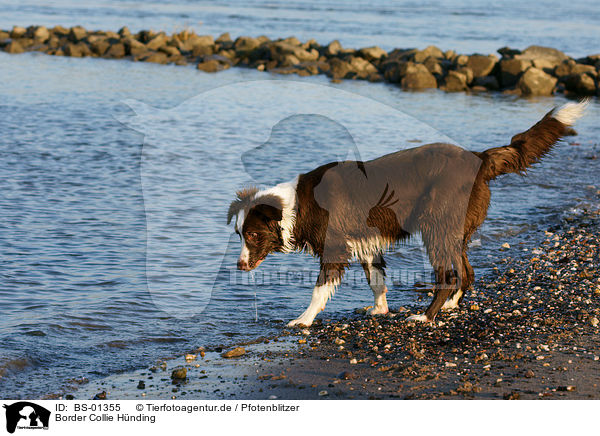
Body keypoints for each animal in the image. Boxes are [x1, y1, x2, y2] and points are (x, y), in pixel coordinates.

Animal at [227, 101, 588, 328]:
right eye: (240, 235)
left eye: (254, 235)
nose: (240, 266)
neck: (298, 205)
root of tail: (479, 158)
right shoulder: (366, 243)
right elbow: (376, 281)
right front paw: (379, 310)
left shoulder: (336, 248)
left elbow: (319, 290)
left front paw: (302, 320)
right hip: (453, 230)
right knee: (466, 271)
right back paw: (452, 306)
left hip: (435, 227)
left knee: (448, 275)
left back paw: (427, 317)